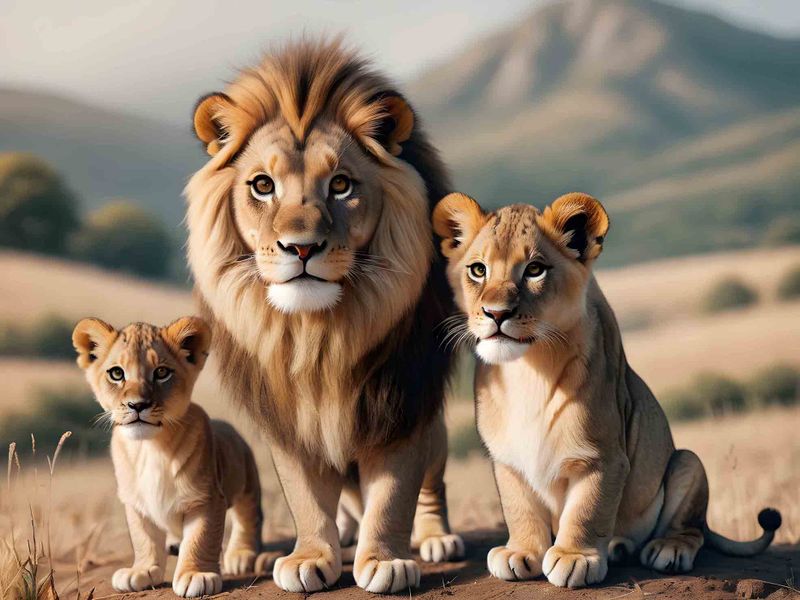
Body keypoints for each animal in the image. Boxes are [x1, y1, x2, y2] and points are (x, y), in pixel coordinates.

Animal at [73, 317, 272, 597]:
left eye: (161, 373)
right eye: (116, 373)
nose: (137, 405)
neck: (149, 448)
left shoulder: (206, 499)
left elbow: (201, 538)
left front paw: (196, 575)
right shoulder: (136, 503)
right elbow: (143, 538)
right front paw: (141, 571)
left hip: (246, 481)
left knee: (248, 516)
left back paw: (240, 556)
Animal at [184, 39, 463, 593]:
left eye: (340, 185)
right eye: (262, 185)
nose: (302, 247)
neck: (318, 338)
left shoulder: (401, 404)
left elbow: (394, 495)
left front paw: (384, 560)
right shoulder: (288, 419)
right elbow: (306, 496)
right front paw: (311, 556)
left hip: (435, 430)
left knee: (431, 487)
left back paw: (434, 538)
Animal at [432, 192, 782, 588]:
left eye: (534, 270)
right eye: (478, 270)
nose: (495, 313)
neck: (527, 369)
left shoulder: (604, 458)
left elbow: (588, 509)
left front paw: (574, 558)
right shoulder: (507, 458)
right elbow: (519, 508)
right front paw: (520, 552)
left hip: (687, 463)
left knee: (693, 528)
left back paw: (667, 548)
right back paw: (617, 546)